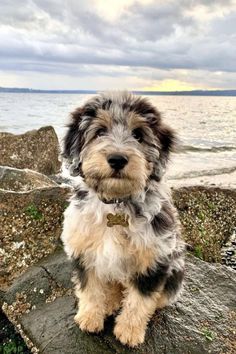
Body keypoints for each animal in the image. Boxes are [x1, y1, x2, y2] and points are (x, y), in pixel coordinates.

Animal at [61, 91, 186, 346]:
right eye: (99, 132)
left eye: (138, 135)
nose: (117, 159)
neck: (117, 202)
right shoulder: (83, 250)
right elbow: (90, 288)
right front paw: (89, 318)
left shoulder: (154, 258)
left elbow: (140, 299)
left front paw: (129, 332)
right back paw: (109, 303)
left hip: (176, 267)